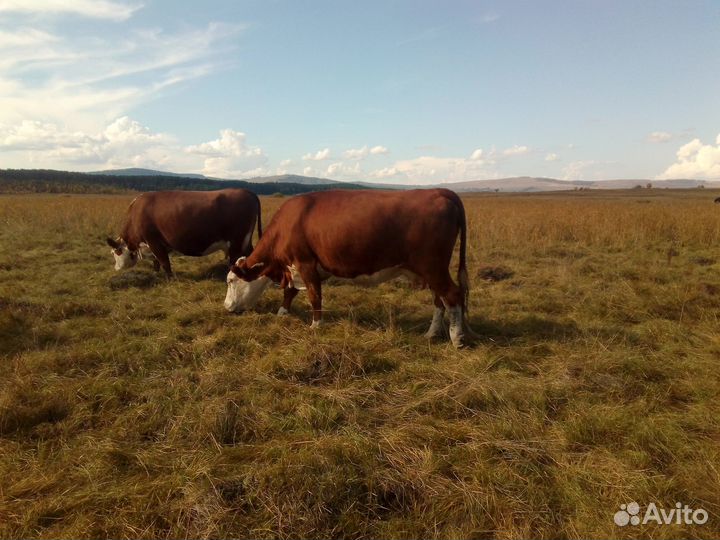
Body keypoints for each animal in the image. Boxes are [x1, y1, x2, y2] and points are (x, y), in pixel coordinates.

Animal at [107, 189, 262, 276]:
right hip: (245, 240)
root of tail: (247, 192)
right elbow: (156, 262)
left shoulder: (154, 241)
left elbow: (164, 262)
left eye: (116, 253)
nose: (116, 268)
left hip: (237, 241)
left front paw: (169, 278)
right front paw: (156, 274)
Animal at [224, 188, 474, 347]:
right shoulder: (297, 268)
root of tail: (438, 191)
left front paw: (315, 326)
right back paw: (431, 333)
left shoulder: (305, 264)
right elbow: (290, 291)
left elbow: (314, 296)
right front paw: (283, 312)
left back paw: (457, 338)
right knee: (439, 300)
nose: (226, 307)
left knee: (452, 295)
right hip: (431, 271)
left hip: (433, 267)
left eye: (231, 281)